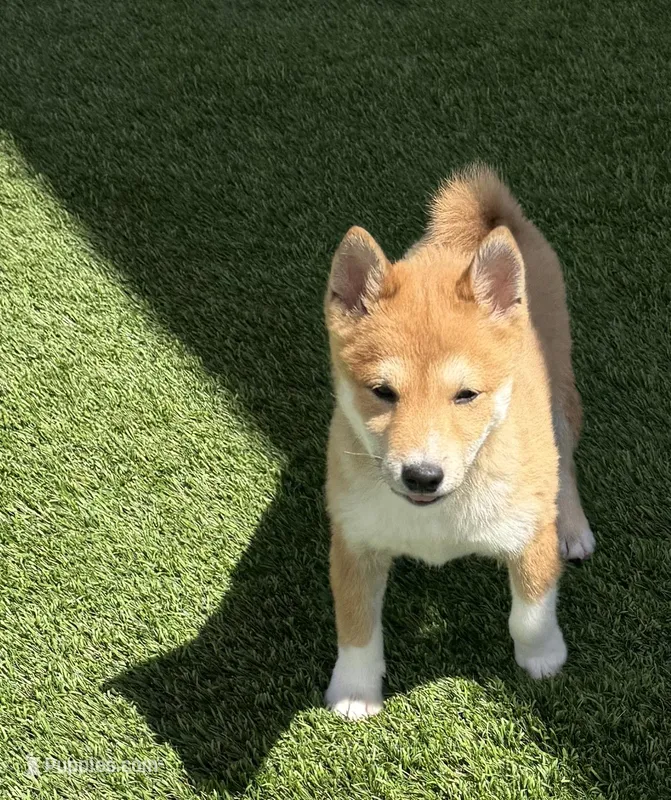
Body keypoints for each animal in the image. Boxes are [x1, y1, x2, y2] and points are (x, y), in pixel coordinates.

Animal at [323, 165, 595, 720]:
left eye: (466, 394)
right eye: (382, 392)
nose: (422, 475)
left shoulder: (529, 533)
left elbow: (530, 612)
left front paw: (543, 657)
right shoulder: (354, 539)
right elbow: (356, 621)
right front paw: (355, 689)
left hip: (559, 395)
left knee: (566, 463)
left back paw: (573, 526)